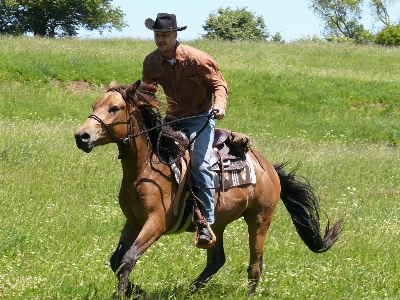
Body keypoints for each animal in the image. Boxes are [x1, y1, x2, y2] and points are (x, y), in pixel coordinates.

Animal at [74, 79, 344, 298]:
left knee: (255, 265)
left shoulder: (155, 223)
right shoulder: (133, 222)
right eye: (94, 105)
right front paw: (138, 291)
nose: (81, 136)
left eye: (114, 108)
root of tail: (268, 167)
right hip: (217, 223)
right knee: (216, 260)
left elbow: (128, 259)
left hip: (259, 219)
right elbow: (116, 260)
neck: (147, 168)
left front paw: (125, 293)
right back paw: (188, 292)